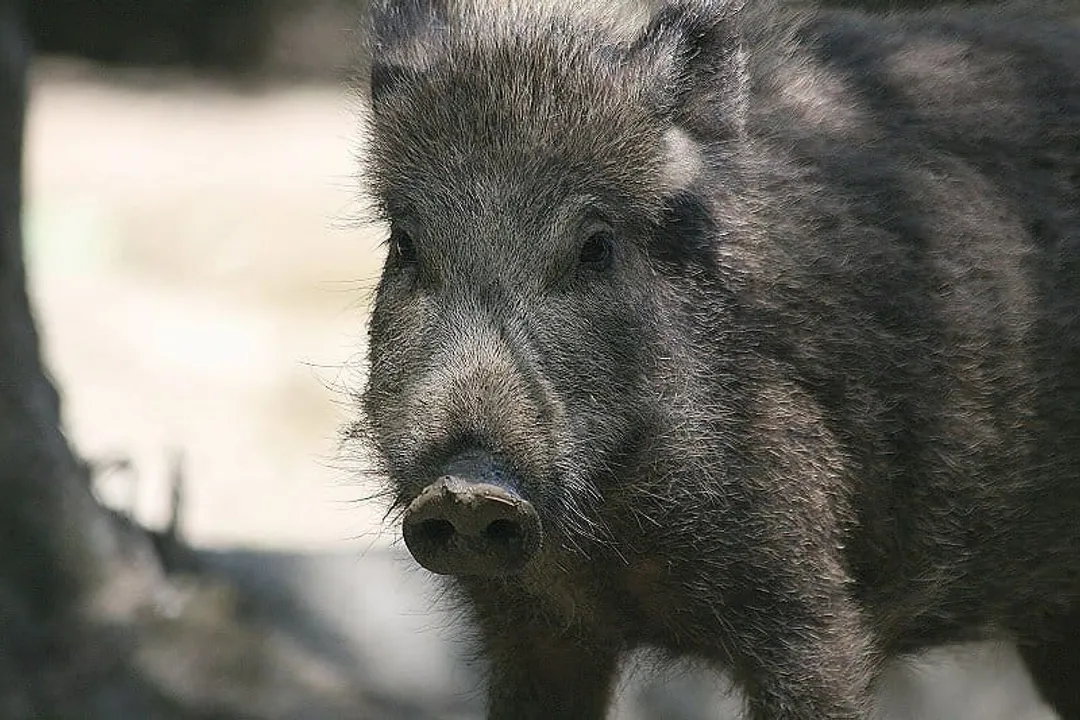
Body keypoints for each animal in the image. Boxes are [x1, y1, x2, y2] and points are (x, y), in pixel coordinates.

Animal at [355, 0, 1080, 718]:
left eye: (596, 247)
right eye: (405, 245)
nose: (465, 490)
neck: (609, 545)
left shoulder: (810, 608)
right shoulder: (528, 627)